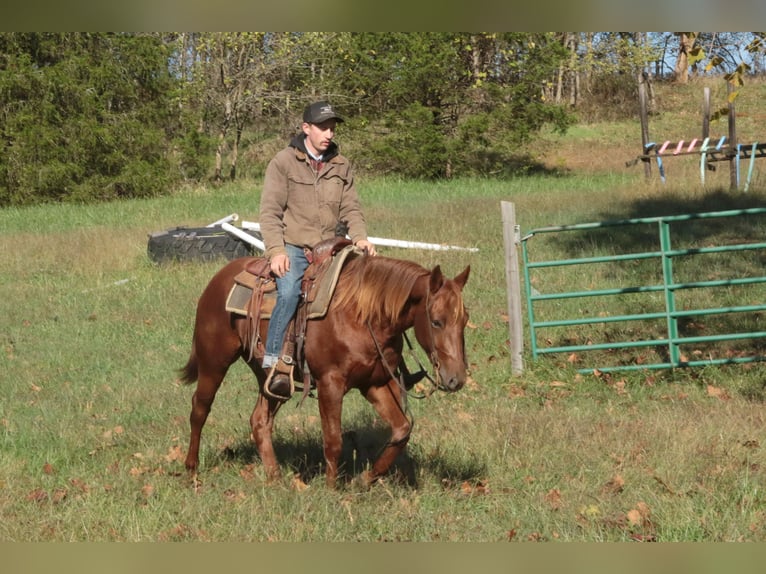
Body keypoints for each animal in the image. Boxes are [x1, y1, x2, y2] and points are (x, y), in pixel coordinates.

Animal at [180, 249, 470, 488]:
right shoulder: (331, 383)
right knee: (199, 409)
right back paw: (191, 471)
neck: (362, 315)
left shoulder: (374, 383)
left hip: (269, 378)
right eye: (436, 321)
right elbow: (333, 440)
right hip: (214, 362)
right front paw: (332, 491)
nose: (456, 379)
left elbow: (402, 430)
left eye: (465, 319)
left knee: (260, 420)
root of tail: (220, 278)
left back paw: (275, 478)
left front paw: (364, 479)